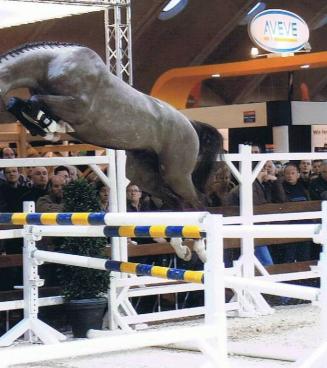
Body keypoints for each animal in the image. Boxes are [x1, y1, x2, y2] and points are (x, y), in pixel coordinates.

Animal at [0, 42, 224, 262]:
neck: (50, 65)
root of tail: (190, 124)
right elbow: (18, 103)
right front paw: (48, 128)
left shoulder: (78, 105)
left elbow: (35, 100)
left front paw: (52, 127)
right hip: (145, 177)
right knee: (177, 203)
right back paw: (181, 249)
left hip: (175, 174)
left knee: (197, 202)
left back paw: (201, 251)